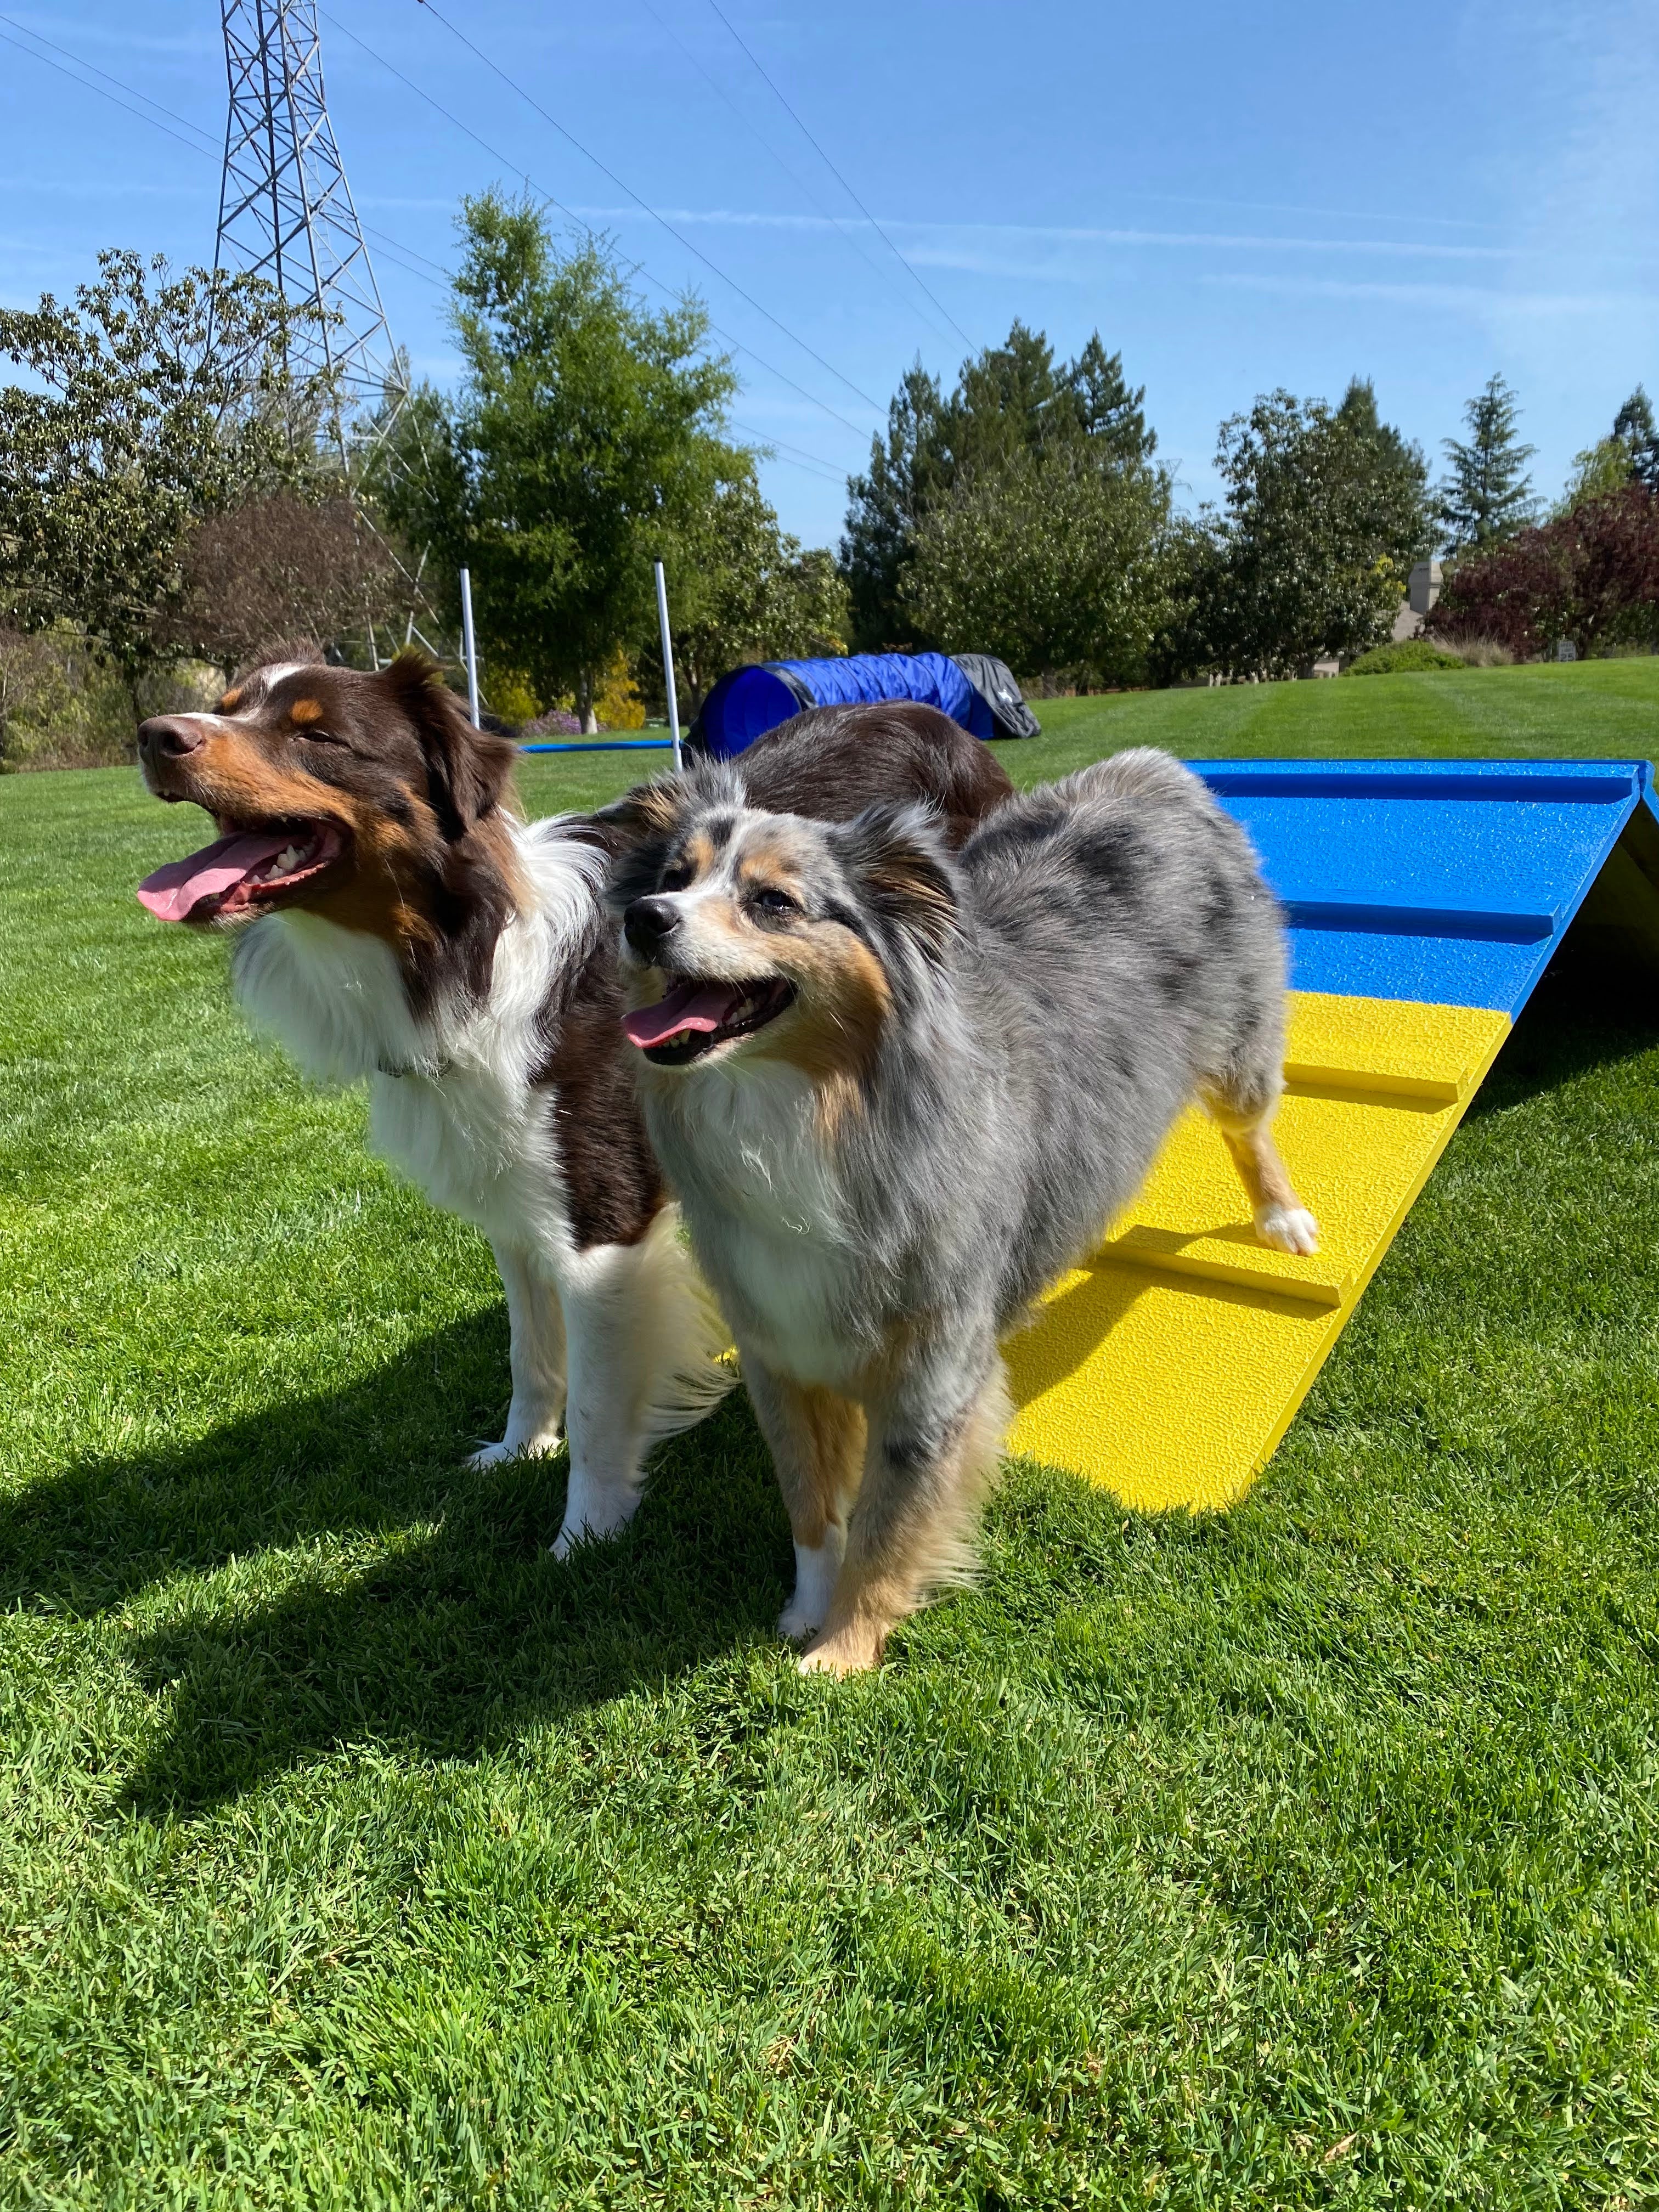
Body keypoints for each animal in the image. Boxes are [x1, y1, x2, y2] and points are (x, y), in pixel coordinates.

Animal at [133, 654, 1013, 1557]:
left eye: (317, 735)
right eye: (229, 704)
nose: (155, 735)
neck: (466, 952)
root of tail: (943, 724)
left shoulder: (604, 1223)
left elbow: (598, 1401)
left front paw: (585, 1535)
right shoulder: (514, 1197)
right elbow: (530, 1349)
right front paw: (521, 1448)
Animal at [610, 747, 1327, 1672]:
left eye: (773, 901)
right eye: (674, 876)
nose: (642, 918)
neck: (807, 1106)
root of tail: (1155, 769)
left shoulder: (933, 1370)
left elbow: (886, 1526)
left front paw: (841, 1654)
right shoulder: (780, 1345)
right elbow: (812, 1500)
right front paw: (806, 1609)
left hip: (1242, 1041)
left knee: (1253, 1128)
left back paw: (1282, 1218)